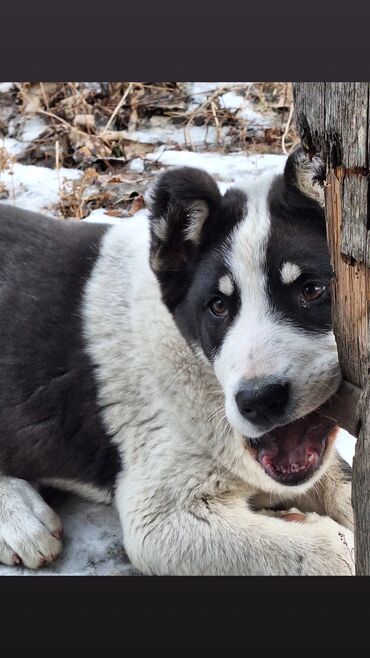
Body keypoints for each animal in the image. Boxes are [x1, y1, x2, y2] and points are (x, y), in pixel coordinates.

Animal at [0, 150, 354, 576]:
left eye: (313, 290)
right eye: (217, 306)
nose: (259, 401)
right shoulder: (160, 520)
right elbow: (329, 552)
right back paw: (21, 519)